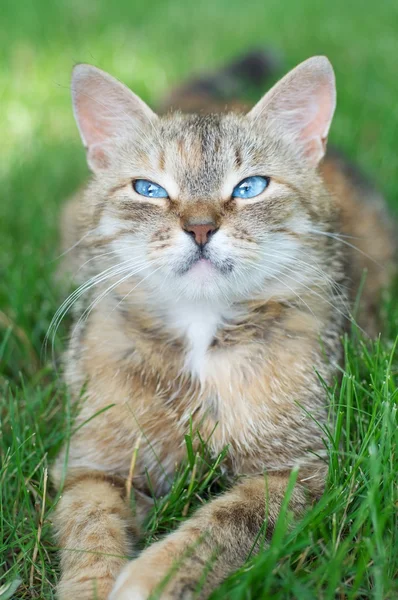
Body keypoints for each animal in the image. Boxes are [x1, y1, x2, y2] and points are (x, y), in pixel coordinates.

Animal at [51, 52, 396, 600]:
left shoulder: (303, 474)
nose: (200, 228)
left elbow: (225, 524)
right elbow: (90, 523)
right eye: (148, 189)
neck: (200, 329)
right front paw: (95, 585)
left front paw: (151, 575)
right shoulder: (89, 463)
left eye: (250, 187)